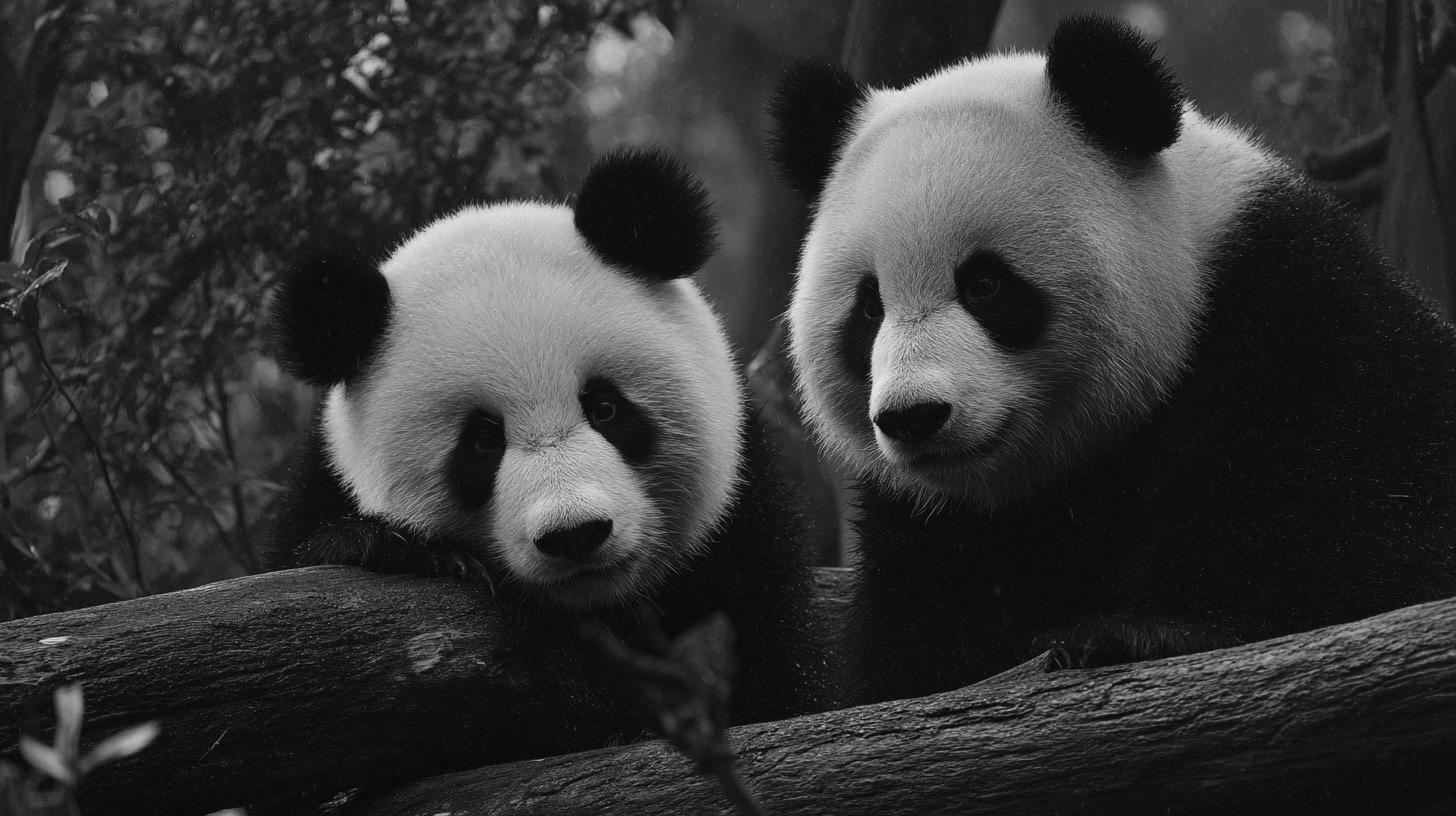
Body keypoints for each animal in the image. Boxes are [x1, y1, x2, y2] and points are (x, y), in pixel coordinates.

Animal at [767, 14, 1456, 705]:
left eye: (984, 284)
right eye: (869, 308)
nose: (914, 417)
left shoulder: (1299, 330)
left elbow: (1355, 544)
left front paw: (1137, 633)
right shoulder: (931, 532)